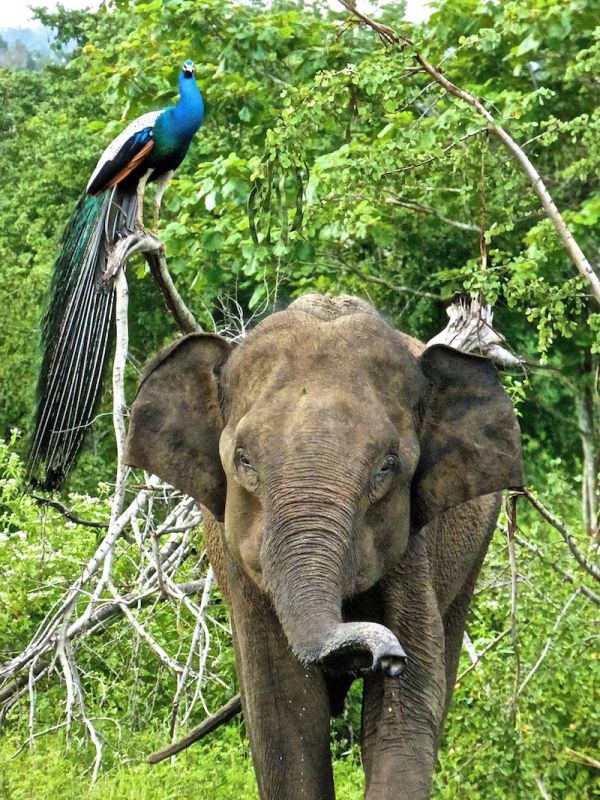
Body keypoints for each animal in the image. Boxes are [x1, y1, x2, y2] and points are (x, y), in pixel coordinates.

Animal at [124, 296, 524, 800]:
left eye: (387, 467)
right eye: (243, 460)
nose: (385, 657)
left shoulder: (414, 549)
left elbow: (410, 704)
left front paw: (400, 679)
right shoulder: (239, 568)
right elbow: (283, 710)